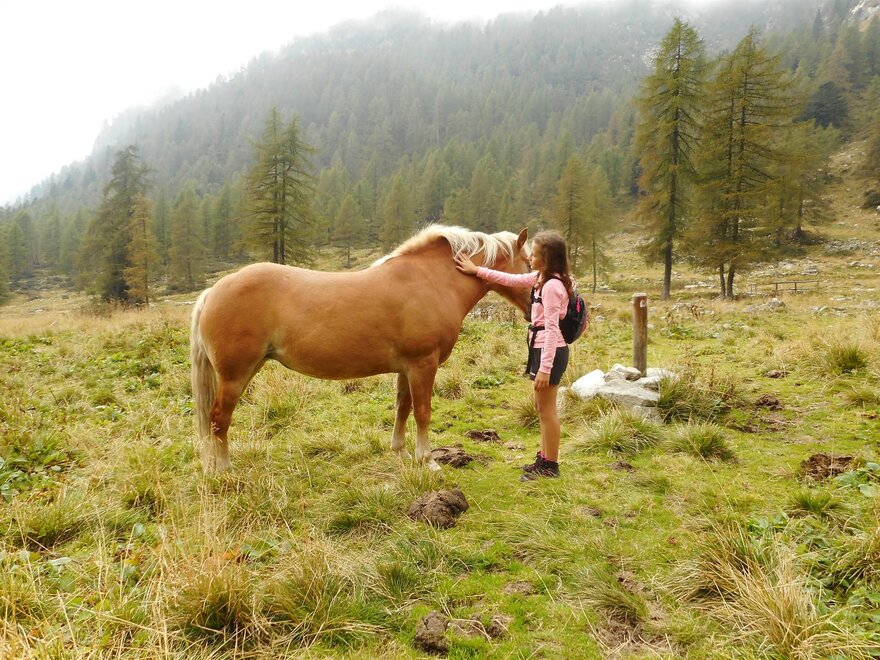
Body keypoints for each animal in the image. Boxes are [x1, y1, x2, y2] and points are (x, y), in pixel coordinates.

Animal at [190, 224, 533, 473]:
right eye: (529, 263)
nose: (535, 307)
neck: (432, 281)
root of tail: (213, 290)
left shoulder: (407, 368)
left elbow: (403, 407)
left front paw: (400, 452)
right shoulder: (424, 364)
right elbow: (422, 411)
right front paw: (427, 460)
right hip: (235, 375)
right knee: (219, 419)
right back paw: (223, 469)